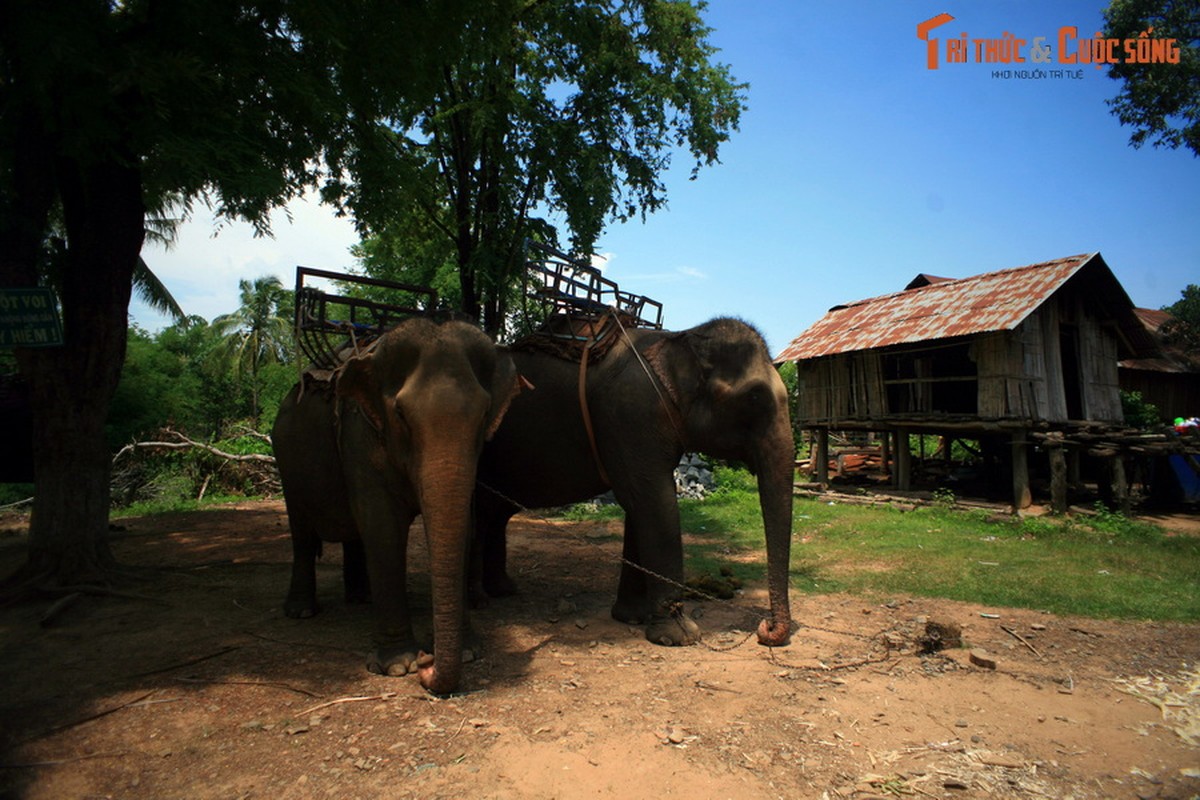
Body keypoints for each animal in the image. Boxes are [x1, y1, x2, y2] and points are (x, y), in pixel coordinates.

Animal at [274, 314, 523, 695]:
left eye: (484, 416)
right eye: (401, 415)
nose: (427, 662)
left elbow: (464, 524)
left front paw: (468, 653)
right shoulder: (361, 433)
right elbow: (383, 526)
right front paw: (397, 665)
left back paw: (360, 597)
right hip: (286, 463)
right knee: (301, 532)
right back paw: (301, 611)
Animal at [472, 316, 792, 647]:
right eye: (754, 397)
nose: (766, 628)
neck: (678, 338)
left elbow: (640, 504)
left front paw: (632, 617)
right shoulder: (630, 414)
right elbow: (653, 501)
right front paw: (678, 637)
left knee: (494, 513)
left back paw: (501, 591)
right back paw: (479, 601)